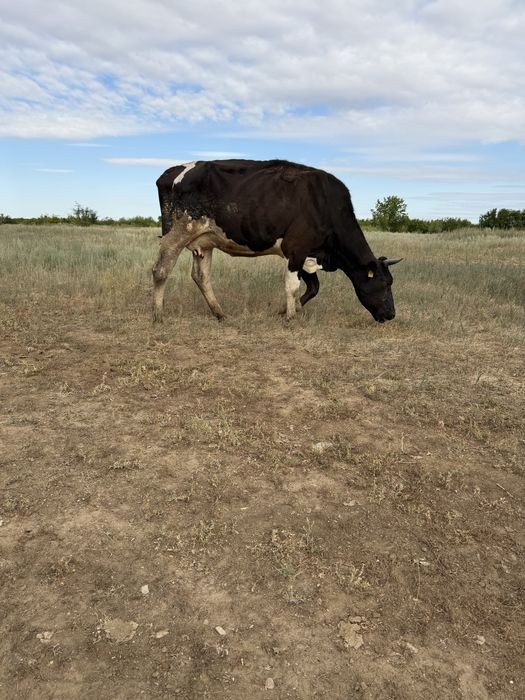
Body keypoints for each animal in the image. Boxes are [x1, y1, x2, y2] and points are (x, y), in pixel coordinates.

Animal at [152, 159, 401, 323]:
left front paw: (288, 309)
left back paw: (220, 313)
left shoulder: (307, 254)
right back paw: (158, 315)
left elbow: (313, 287)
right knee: (161, 270)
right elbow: (293, 286)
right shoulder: (296, 248)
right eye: (385, 284)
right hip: (177, 232)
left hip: (204, 242)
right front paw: (290, 316)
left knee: (201, 276)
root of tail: (172, 171)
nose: (391, 314)